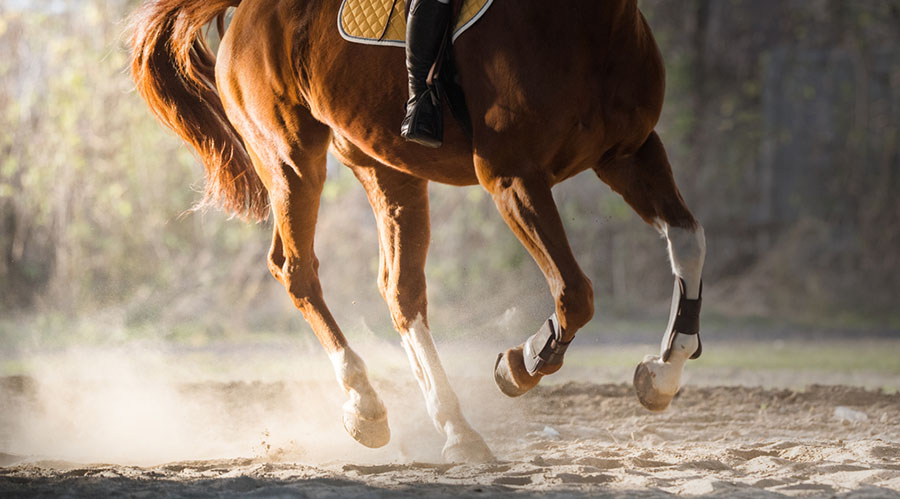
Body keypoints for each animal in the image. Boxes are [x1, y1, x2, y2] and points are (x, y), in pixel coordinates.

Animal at [129, 0, 707, 462]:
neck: (589, 22)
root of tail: (246, 10)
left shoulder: (629, 154)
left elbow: (689, 240)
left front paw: (662, 374)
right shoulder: (512, 177)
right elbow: (574, 292)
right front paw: (520, 363)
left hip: (385, 167)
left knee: (399, 292)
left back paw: (455, 430)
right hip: (291, 159)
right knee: (297, 271)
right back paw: (366, 405)